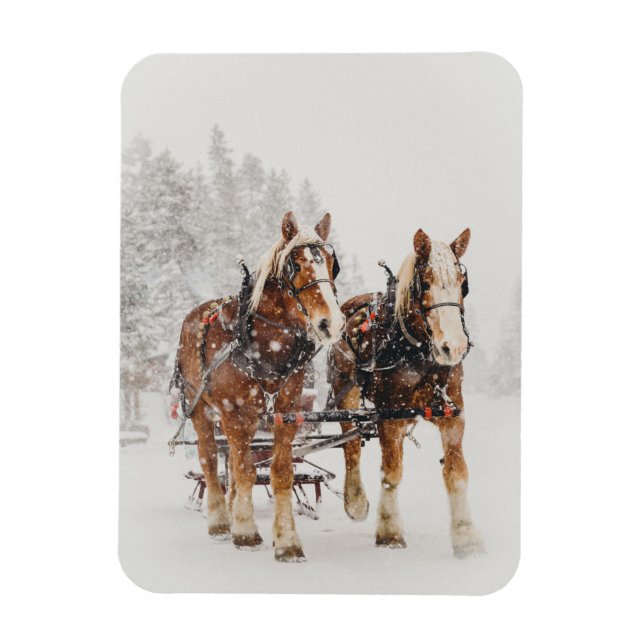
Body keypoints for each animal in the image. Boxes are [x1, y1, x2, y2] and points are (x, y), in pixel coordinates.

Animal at [172, 212, 344, 562]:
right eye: (295, 265)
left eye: (332, 265)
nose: (331, 324)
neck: (264, 344)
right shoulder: (233, 411)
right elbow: (243, 470)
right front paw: (245, 531)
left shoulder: (286, 411)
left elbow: (278, 471)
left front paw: (287, 540)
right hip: (202, 409)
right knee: (212, 461)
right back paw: (220, 522)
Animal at [327, 228, 484, 557]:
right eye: (424, 283)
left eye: (463, 284)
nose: (454, 347)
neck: (417, 352)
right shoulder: (390, 417)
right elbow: (391, 474)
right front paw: (389, 531)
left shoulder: (453, 414)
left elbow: (456, 473)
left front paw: (466, 536)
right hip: (345, 391)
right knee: (350, 443)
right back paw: (355, 500)